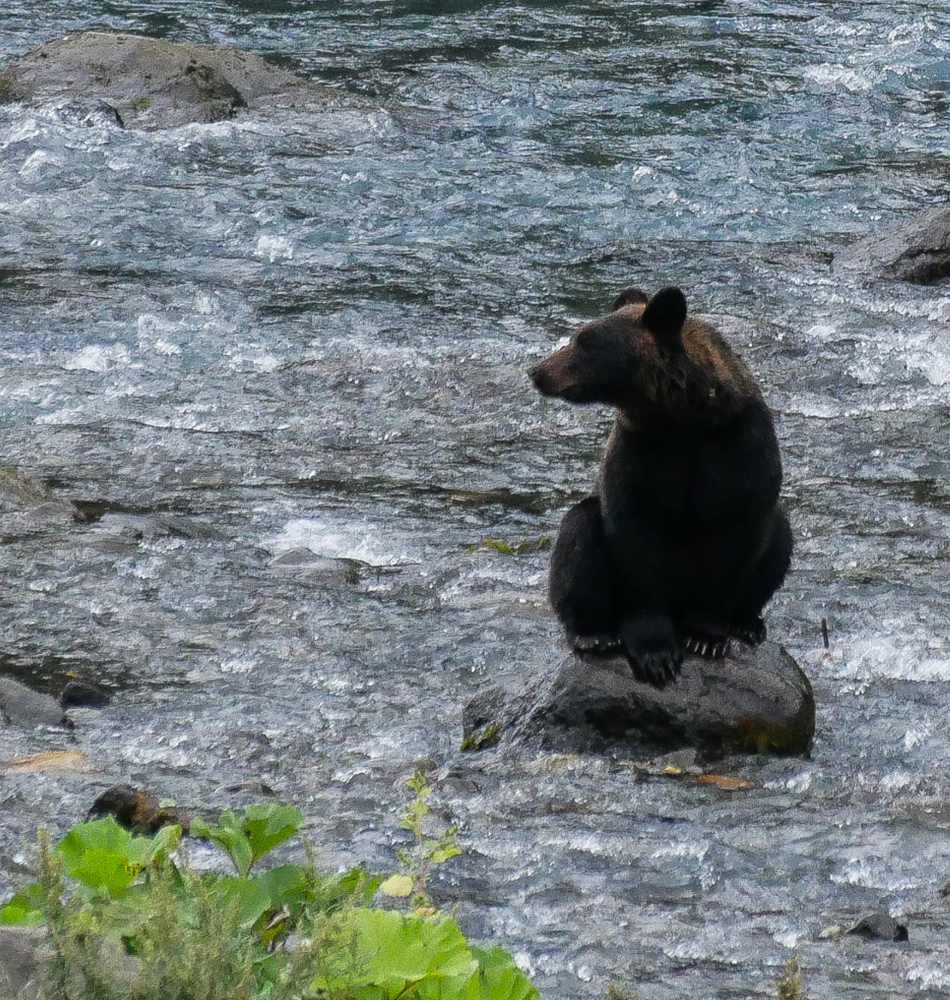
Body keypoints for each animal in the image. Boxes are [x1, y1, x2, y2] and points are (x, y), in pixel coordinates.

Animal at [532, 286, 792, 684]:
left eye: (584, 341)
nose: (538, 371)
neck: (681, 420)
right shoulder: (641, 453)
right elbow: (636, 543)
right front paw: (656, 653)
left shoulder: (737, 449)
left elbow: (735, 540)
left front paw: (705, 637)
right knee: (578, 533)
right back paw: (594, 634)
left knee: (779, 541)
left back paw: (746, 623)